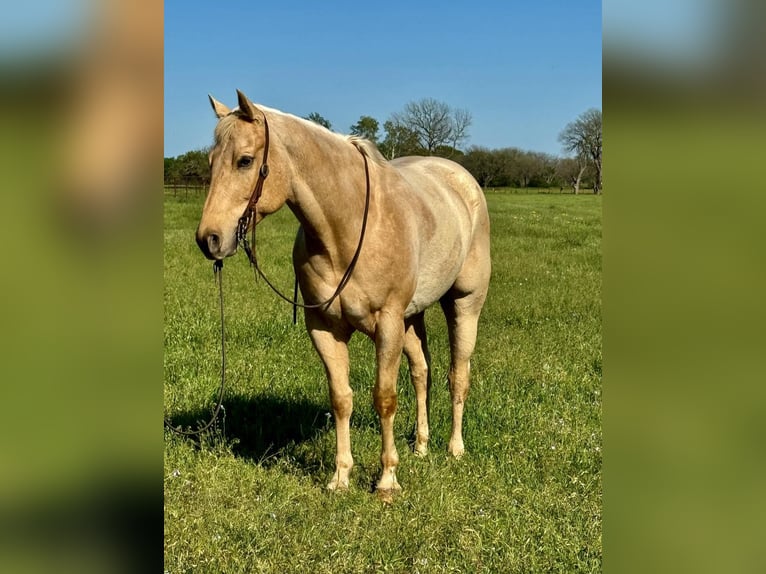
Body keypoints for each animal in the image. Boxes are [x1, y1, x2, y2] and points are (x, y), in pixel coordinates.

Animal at [196, 90, 492, 500]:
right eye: (211, 162)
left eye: (245, 160)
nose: (209, 239)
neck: (345, 228)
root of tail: (463, 180)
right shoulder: (325, 327)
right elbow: (341, 398)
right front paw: (340, 477)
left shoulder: (387, 324)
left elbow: (384, 398)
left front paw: (386, 480)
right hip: (412, 317)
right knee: (422, 373)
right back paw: (420, 446)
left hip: (463, 304)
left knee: (457, 375)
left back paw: (454, 448)